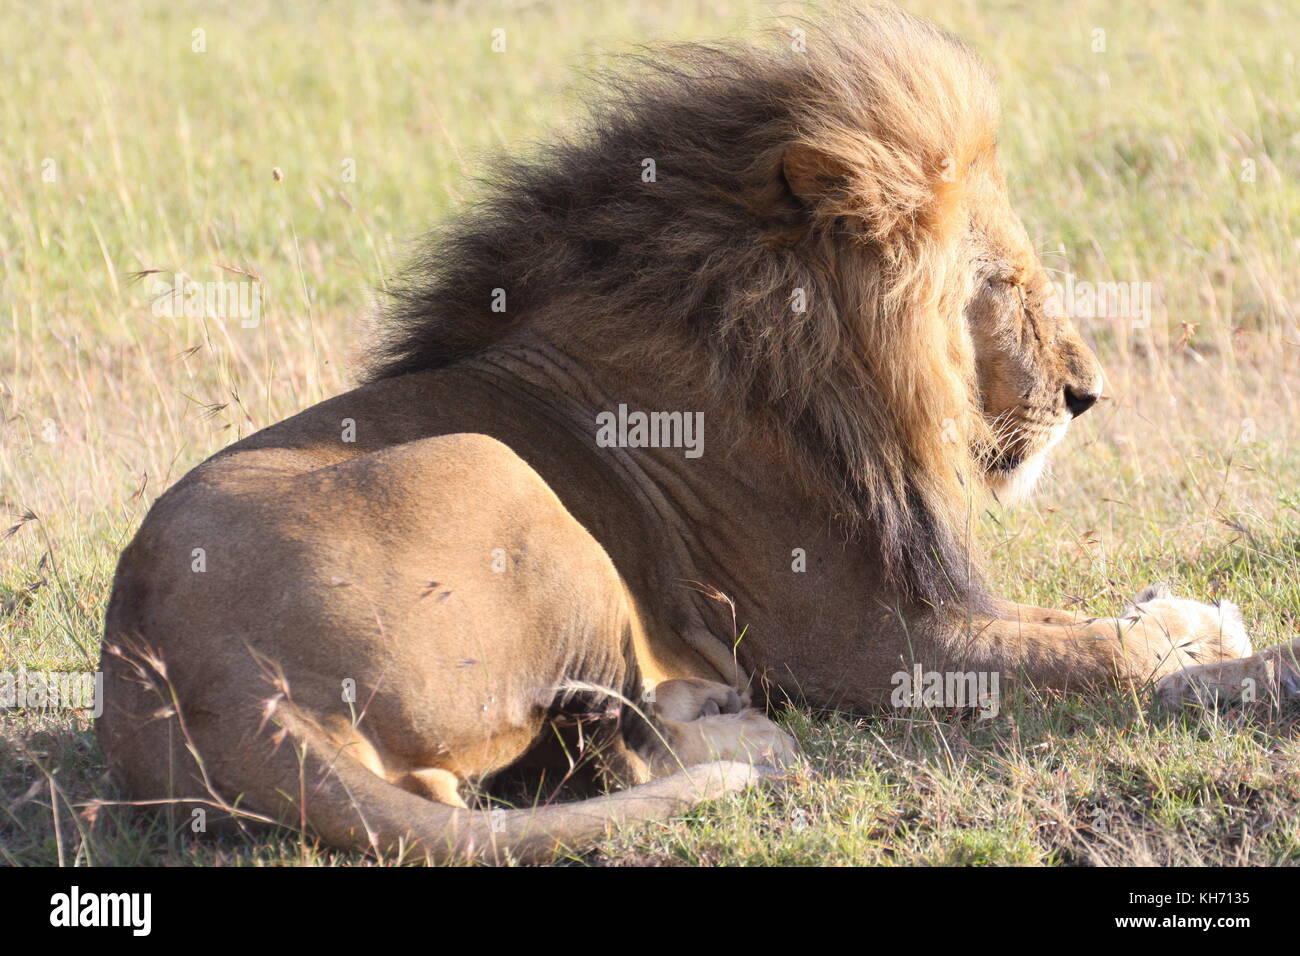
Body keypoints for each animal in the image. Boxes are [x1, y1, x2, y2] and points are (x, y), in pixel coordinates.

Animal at [96, 3, 1253, 863]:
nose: (1088, 394)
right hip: (504, 478)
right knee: (610, 755)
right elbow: (1100, 654)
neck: (811, 354)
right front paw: (1195, 635)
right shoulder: (883, 645)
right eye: (1005, 282)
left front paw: (1174, 607)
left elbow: (1074, 621)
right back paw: (756, 740)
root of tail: (201, 671)